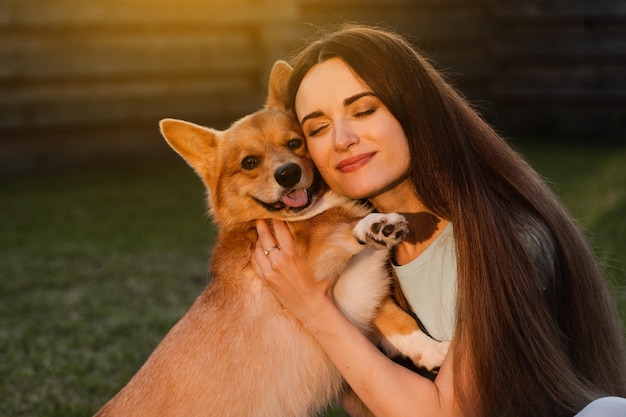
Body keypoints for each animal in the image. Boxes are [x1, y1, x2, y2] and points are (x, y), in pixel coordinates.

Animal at [92, 59, 446, 416]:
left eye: (295, 142)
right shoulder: (316, 262)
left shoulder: (351, 300)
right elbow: (334, 228)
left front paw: (430, 350)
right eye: (249, 162)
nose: (288, 173)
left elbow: (393, 314)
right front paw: (373, 225)